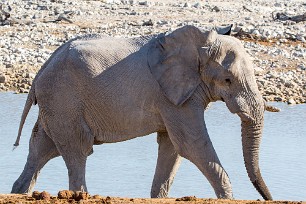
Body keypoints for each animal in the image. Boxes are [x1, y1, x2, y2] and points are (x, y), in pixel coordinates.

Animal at [12, 24, 274, 200]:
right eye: (228, 80)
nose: (268, 197)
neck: (198, 43)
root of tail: (43, 67)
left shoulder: (176, 96)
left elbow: (173, 148)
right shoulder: (172, 96)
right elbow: (191, 145)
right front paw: (228, 198)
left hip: (57, 105)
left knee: (42, 149)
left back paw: (19, 192)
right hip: (64, 101)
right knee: (77, 151)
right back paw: (80, 194)